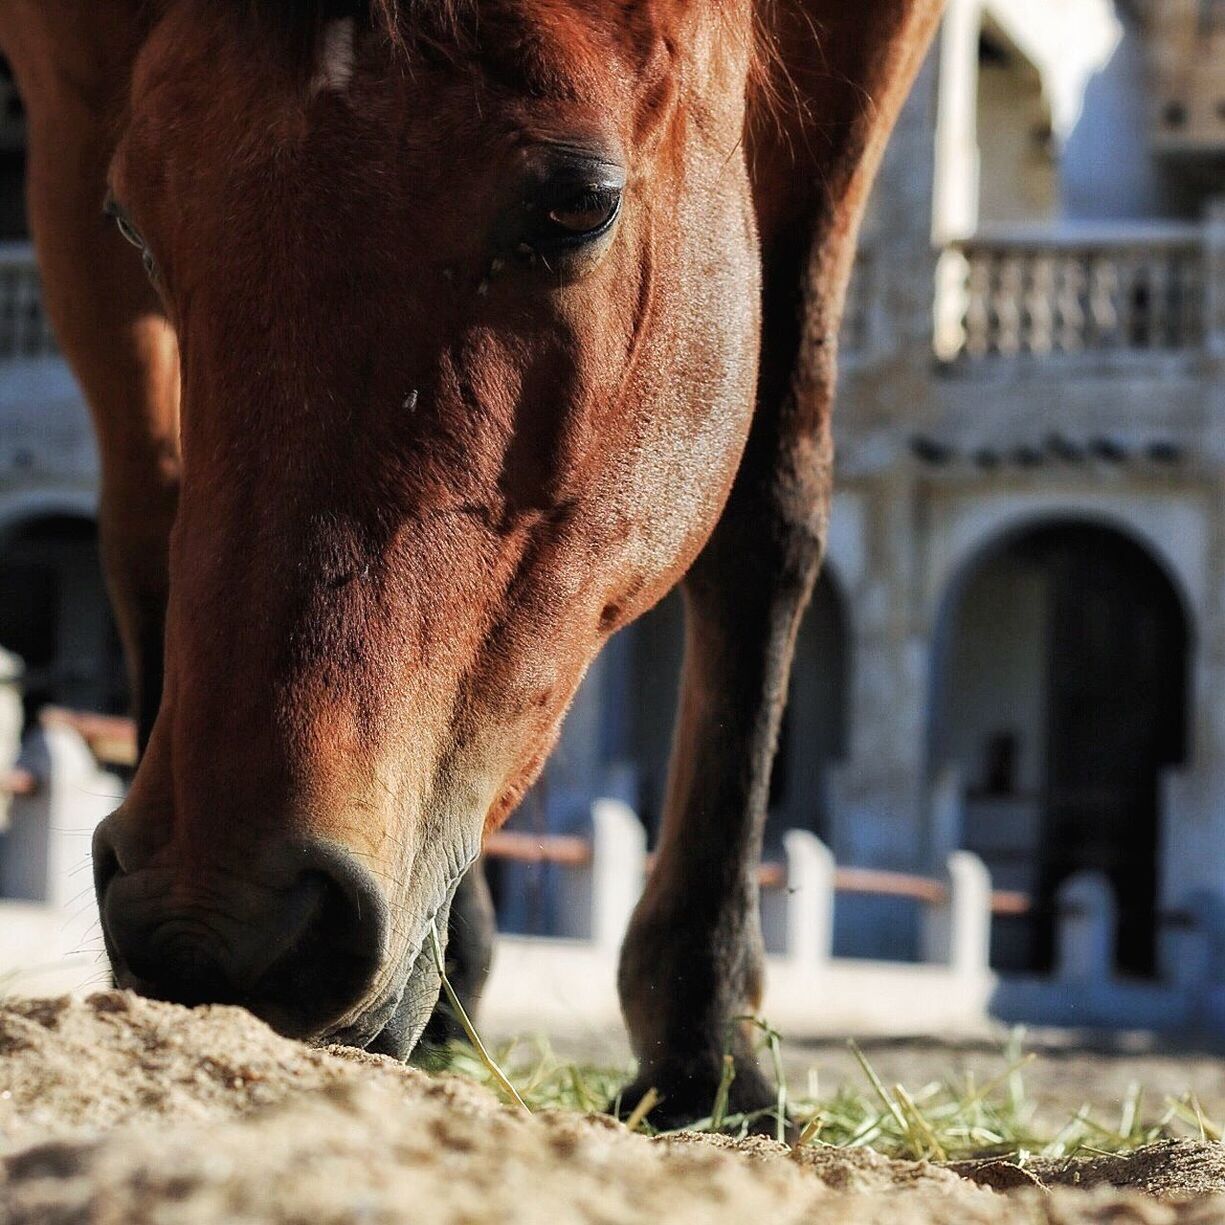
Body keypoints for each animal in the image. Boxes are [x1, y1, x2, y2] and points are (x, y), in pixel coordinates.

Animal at [0, 0, 935, 1122]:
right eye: (132, 219)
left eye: (578, 205)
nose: (215, 925)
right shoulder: (69, 93)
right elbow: (156, 505)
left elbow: (771, 502)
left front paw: (706, 1039)